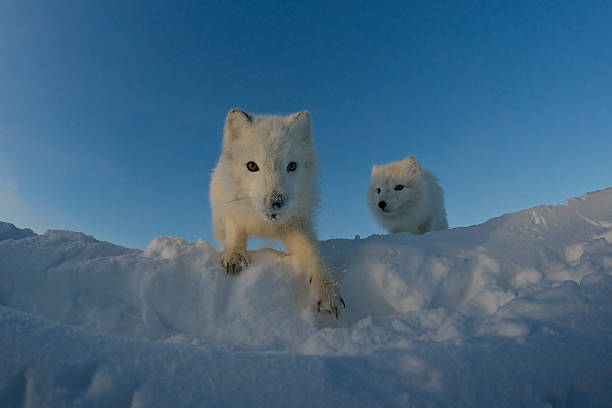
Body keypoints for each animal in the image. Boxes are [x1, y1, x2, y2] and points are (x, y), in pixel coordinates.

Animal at [209, 109, 344, 318]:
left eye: (292, 166)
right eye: (251, 166)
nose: (276, 202)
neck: (264, 224)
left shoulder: (298, 224)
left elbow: (314, 255)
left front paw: (326, 292)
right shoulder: (232, 213)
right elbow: (235, 233)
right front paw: (234, 255)